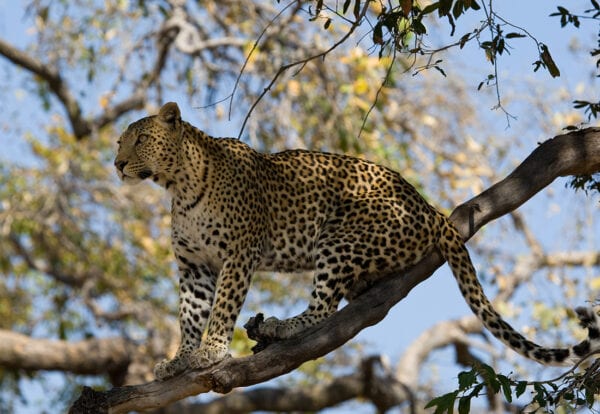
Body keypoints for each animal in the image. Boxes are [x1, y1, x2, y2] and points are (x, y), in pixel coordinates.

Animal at [113, 102, 600, 380]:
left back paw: (282, 326)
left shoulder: (238, 253)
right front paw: (180, 359)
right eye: (120, 141)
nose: (116, 163)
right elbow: (189, 315)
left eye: (140, 139)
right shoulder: (194, 266)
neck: (178, 186)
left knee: (322, 309)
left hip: (339, 232)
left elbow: (221, 309)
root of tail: (430, 208)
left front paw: (210, 353)